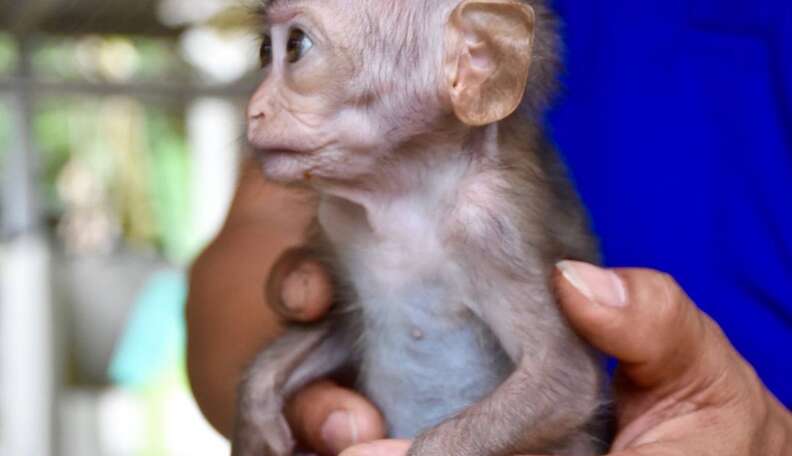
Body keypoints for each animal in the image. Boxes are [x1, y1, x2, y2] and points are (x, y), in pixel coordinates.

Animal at [233, 0, 610, 455]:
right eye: (263, 51)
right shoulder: (338, 221)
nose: (254, 109)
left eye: (294, 47)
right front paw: (257, 412)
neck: (403, 196)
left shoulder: (489, 225)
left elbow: (564, 376)